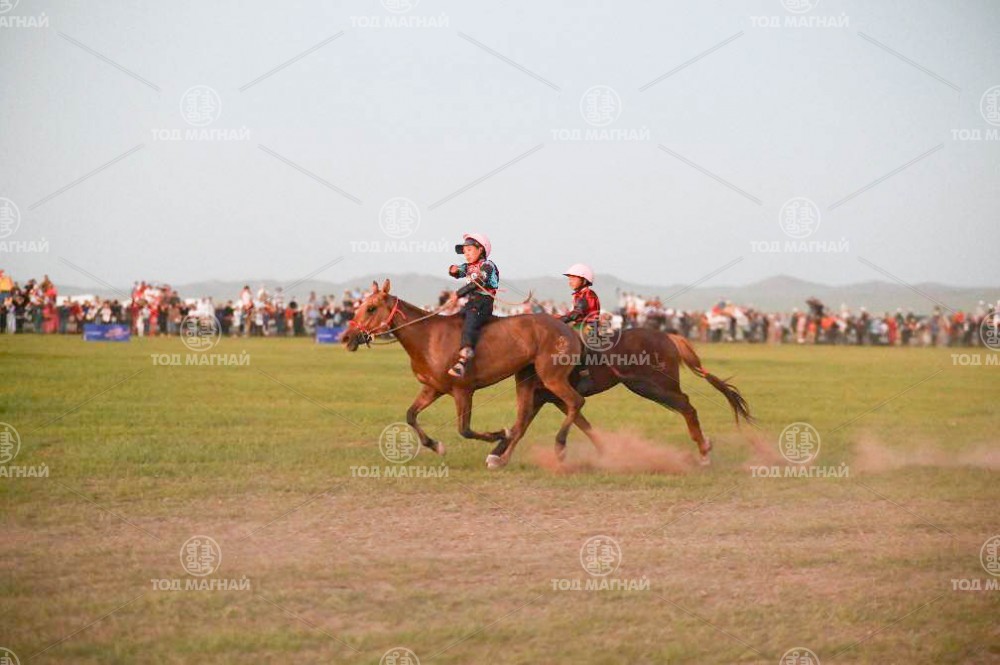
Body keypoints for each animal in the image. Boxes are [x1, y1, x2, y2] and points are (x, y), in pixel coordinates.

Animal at [341, 280, 598, 468]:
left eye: (371, 308)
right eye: (359, 305)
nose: (345, 337)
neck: (428, 338)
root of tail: (568, 329)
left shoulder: (463, 391)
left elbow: (464, 429)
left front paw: (498, 434)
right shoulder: (433, 388)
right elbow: (411, 415)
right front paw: (436, 445)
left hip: (552, 377)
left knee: (575, 402)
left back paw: (559, 446)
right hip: (526, 379)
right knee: (525, 418)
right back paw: (501, 458)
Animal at [485, 327, 754, 466]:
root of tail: (668, 337)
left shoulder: (549, 397)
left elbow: (523, 426)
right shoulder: (548, 399)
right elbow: (526, 426)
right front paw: (497, 454)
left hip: (651, 385)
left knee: (687, 406)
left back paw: (704, 451)